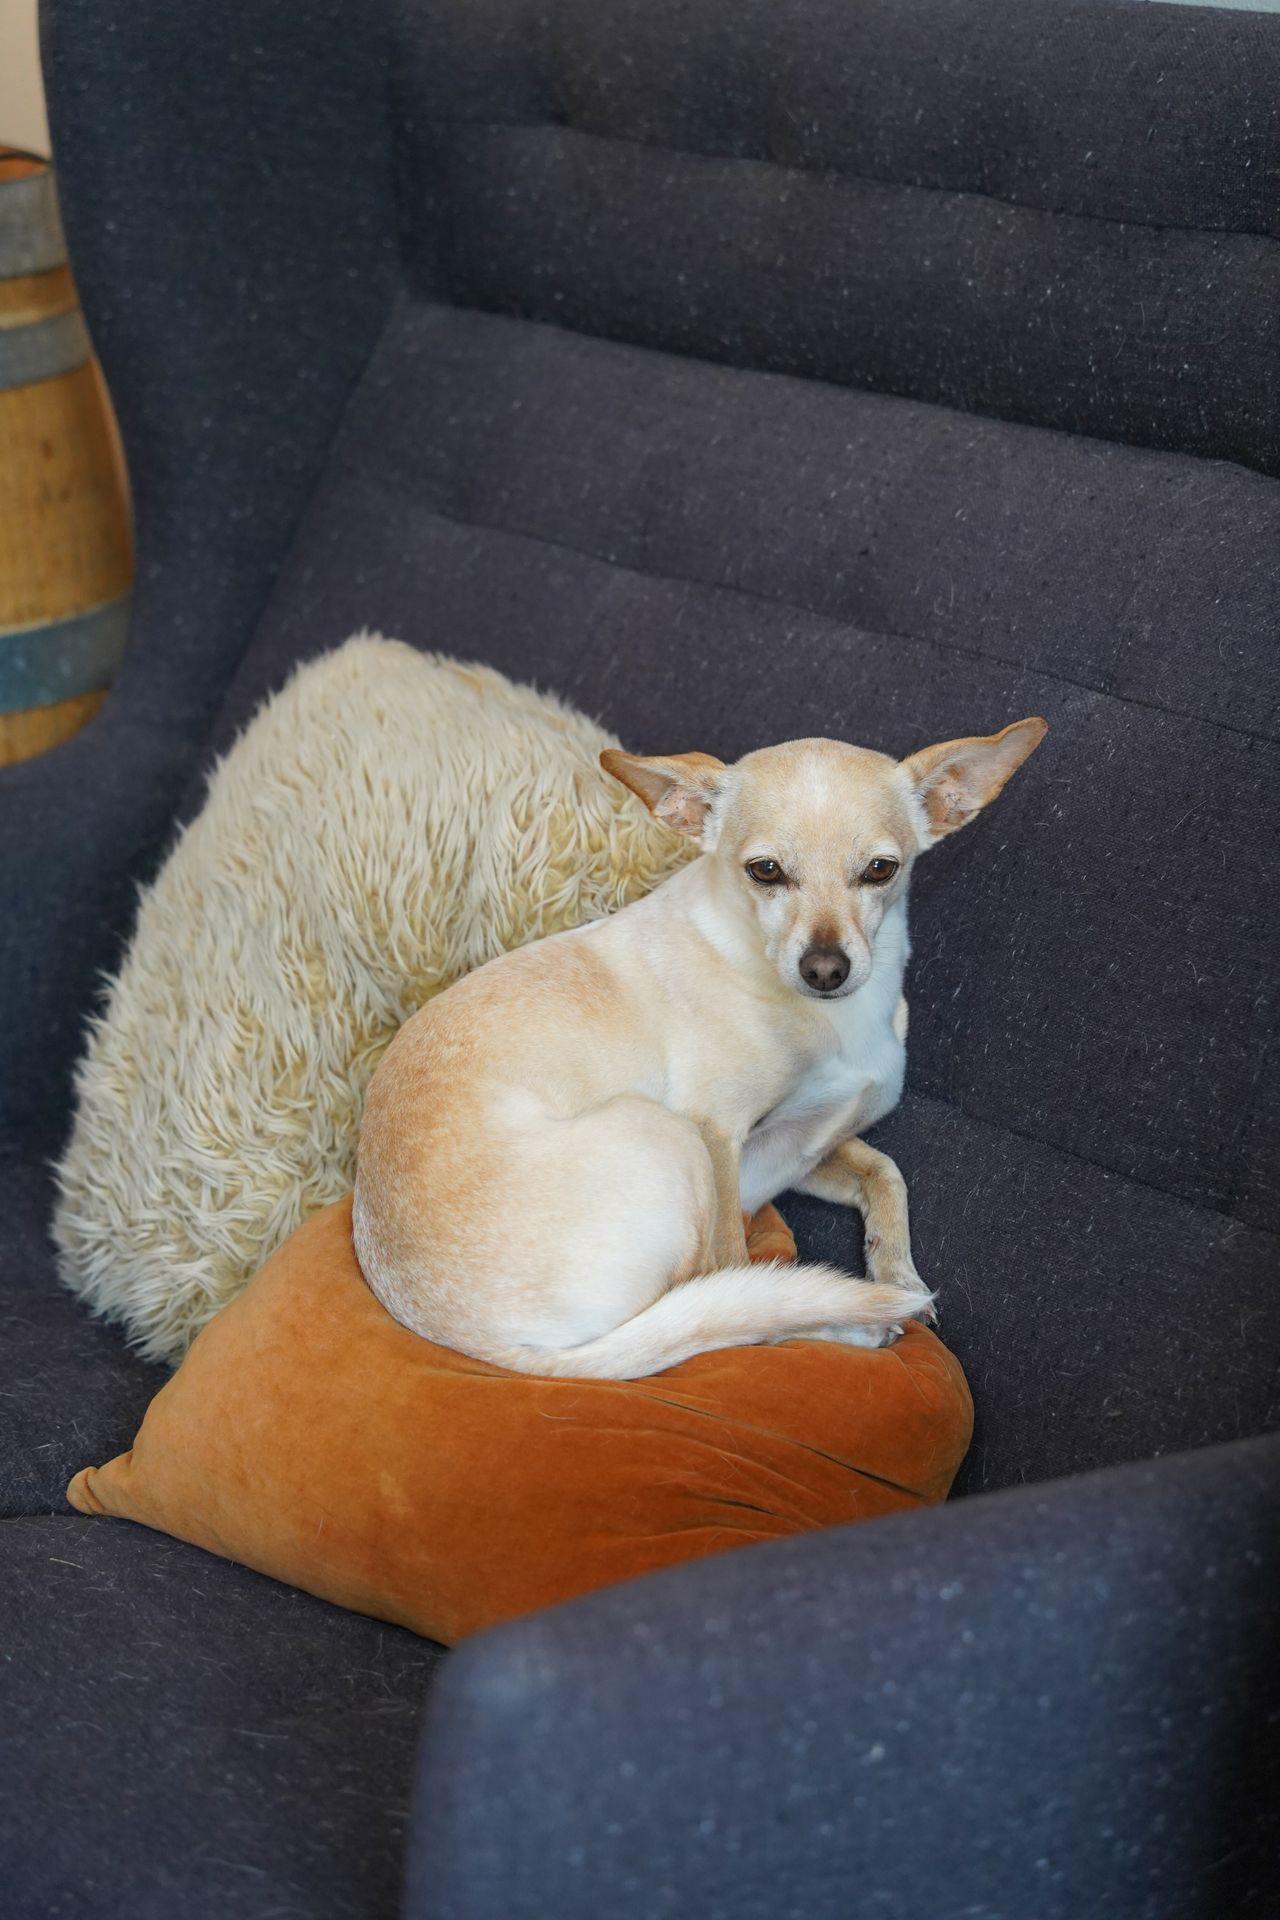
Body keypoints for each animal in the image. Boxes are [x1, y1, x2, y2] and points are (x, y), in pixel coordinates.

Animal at [355, 714, 1043, 1374]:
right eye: (765, 871)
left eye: (881, 869)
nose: (825, 970)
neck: (834, 1018)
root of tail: (483, 1344)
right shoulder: (718, 1135)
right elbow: (736, 1268)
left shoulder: (791, 1147)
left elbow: (884, 1171)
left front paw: (898, 1272)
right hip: (667, 1133)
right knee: (721, 1307)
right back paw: (847, 1324)